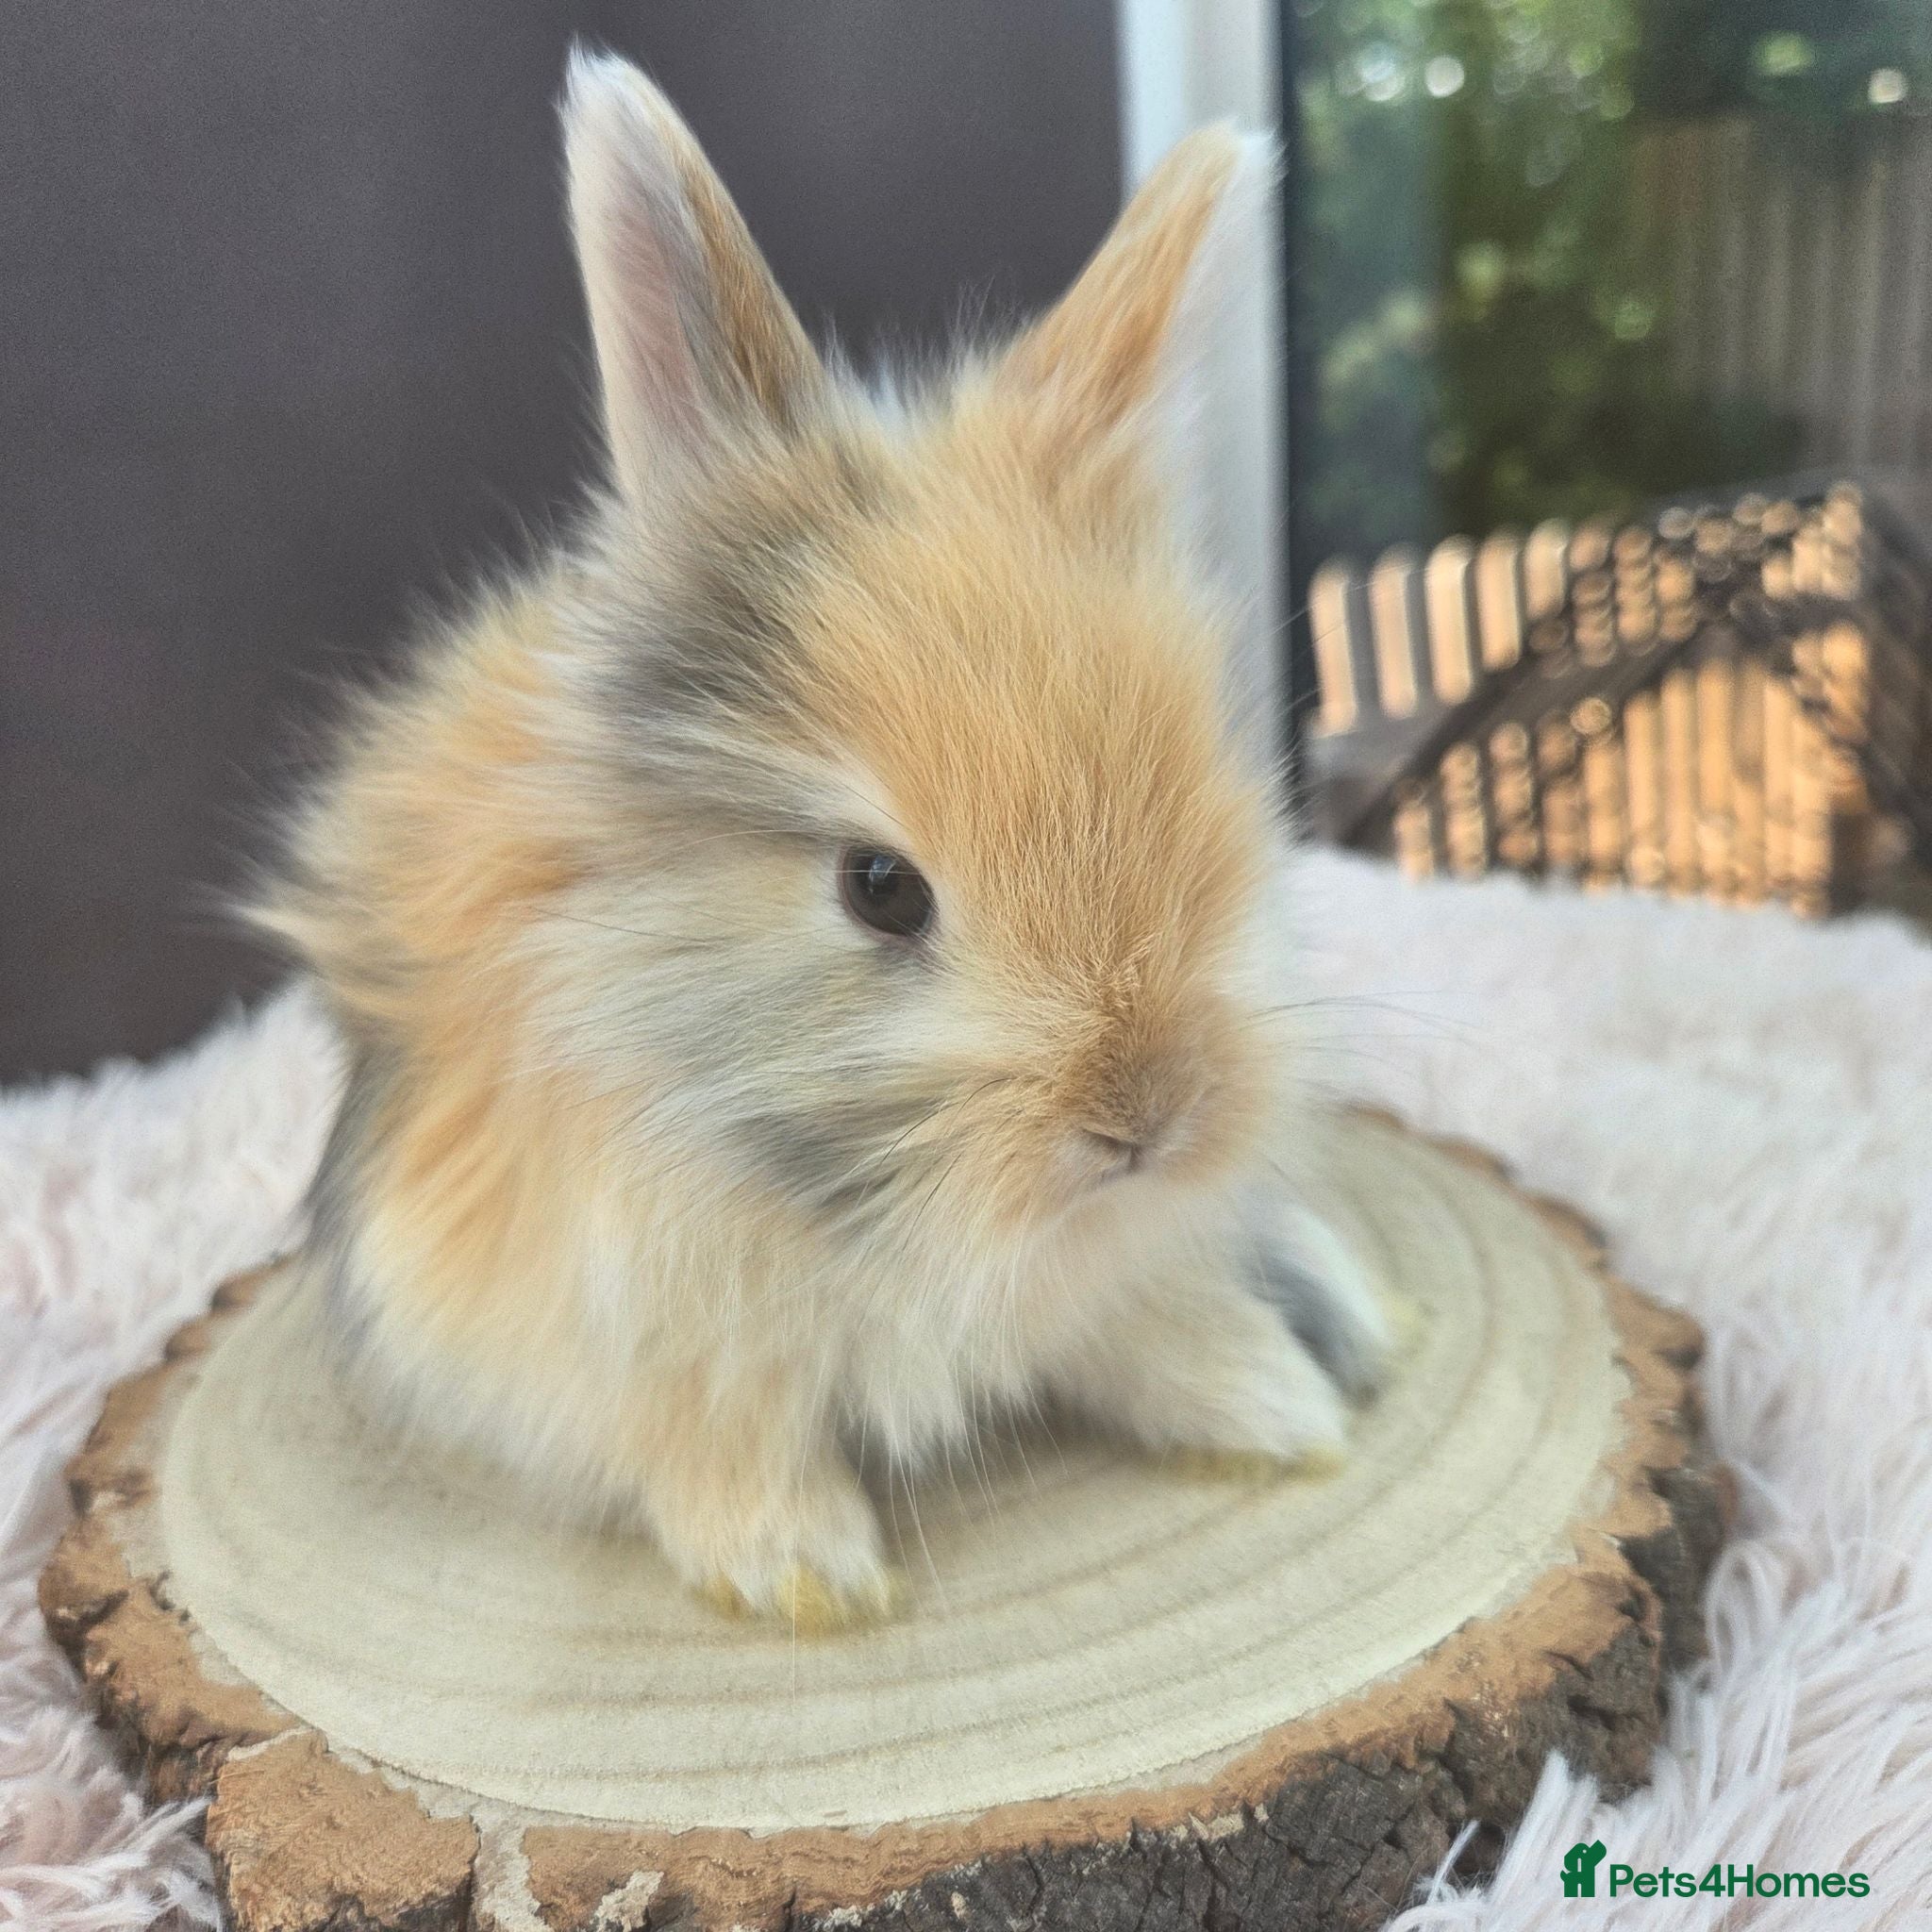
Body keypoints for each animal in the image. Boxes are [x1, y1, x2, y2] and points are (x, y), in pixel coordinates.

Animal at [254, 49, 1395, 1632]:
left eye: (1214, 807)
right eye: (880, 889)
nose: (1149, 1122)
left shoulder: (1114, 1267)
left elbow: (1143, 1321)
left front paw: (1269, 1407)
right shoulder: (591, 1316)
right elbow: (714, 1433)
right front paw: (802, 1572)